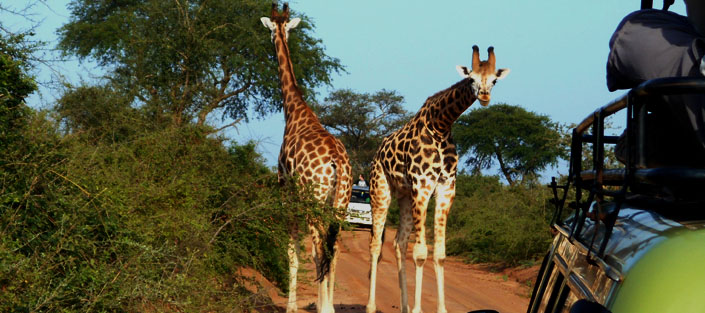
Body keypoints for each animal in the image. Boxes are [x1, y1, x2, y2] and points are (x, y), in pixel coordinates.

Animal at [260, 3, 350, 312]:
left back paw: (324, 307)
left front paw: (290, 306)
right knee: (333, 248)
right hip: (340, 202)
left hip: (314, 200)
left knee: (320, 247)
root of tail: (337, 162)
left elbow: (293, 251)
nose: (272, 38)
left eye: (273, 29)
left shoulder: (285, 190)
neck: (295, 110)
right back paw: (329, 306)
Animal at [366, 44, 508, 312]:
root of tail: (377, 151)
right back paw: (371, 306)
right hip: (380, 190)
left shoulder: (446, 188)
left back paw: (403, 305)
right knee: (376, 245)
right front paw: (418, 309)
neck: (441, 126)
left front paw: (438, 308)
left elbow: (440, 254)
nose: (484, 97)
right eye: (471, 78)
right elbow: (421, 253)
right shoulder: (422, 186)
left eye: (494, 80)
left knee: (399, 243)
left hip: (404, 195)